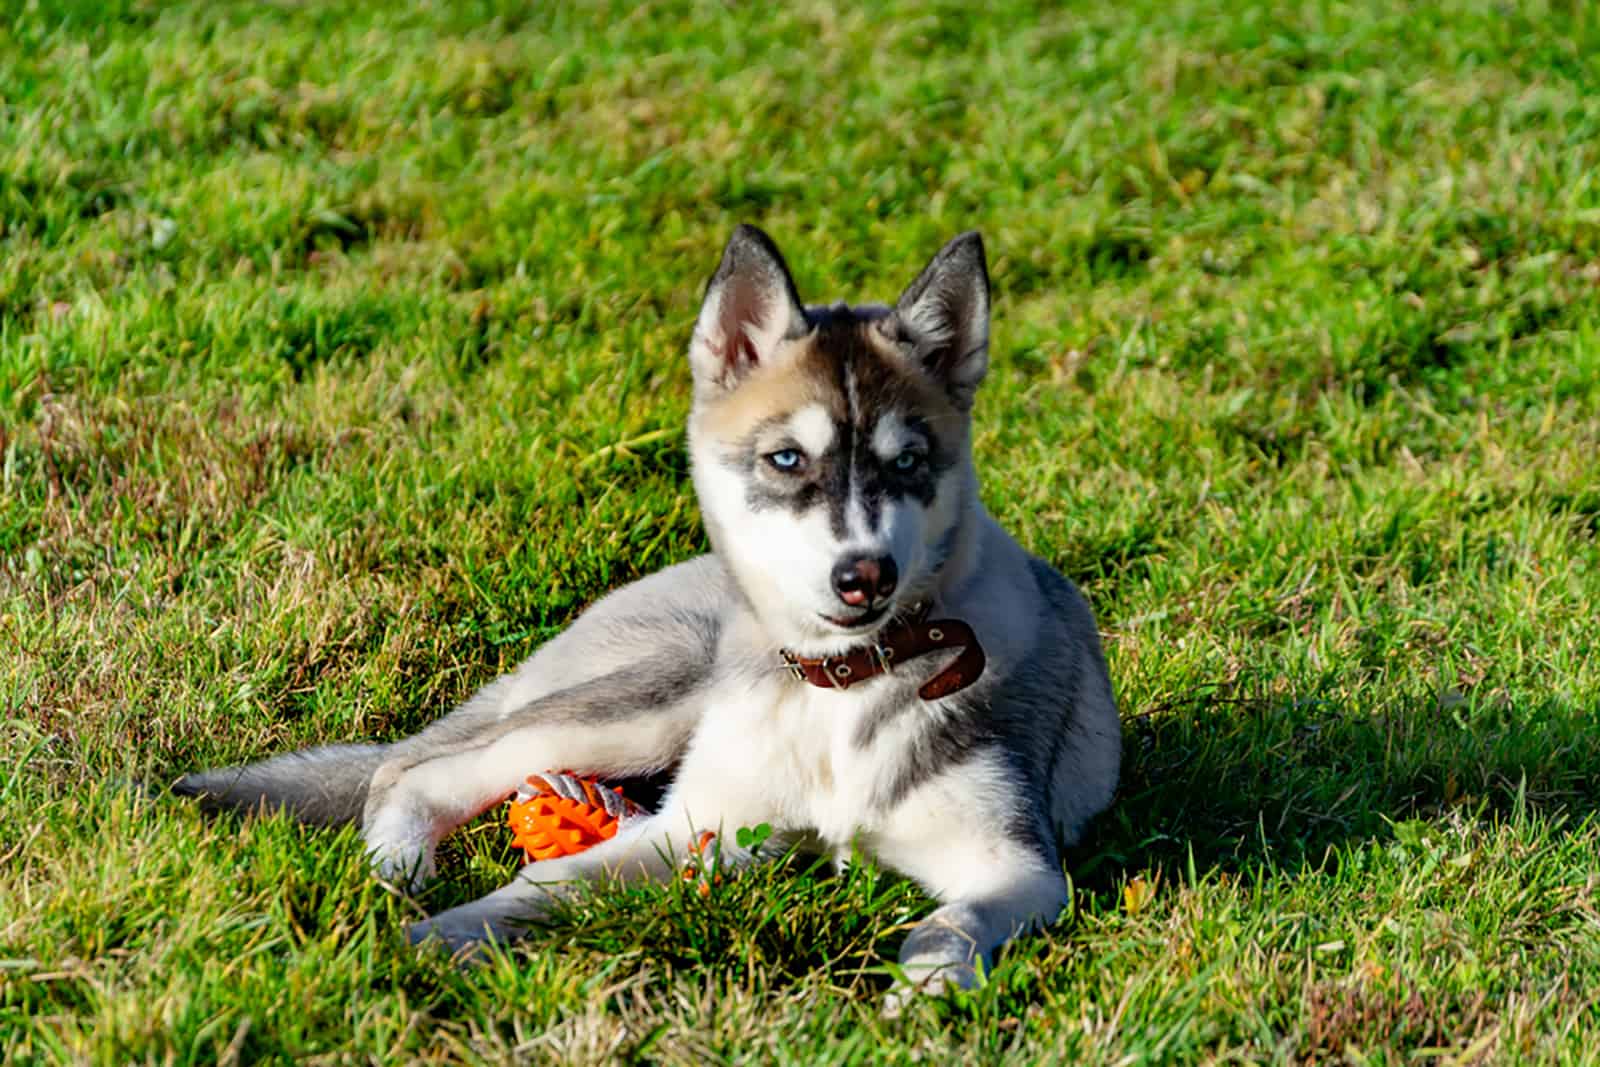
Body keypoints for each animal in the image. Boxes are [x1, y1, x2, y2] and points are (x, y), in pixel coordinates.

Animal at [175, 225, 1120, 1004]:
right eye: (786, 458)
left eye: (910, 461)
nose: (864, 576)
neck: (840, 688)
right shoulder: (699, 824)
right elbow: (545, 885)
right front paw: (425, 941)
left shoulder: (1017, 864)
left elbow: (950, 924)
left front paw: (926, 989)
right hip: (648, 702)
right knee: (417, 769)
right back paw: (396, 866)